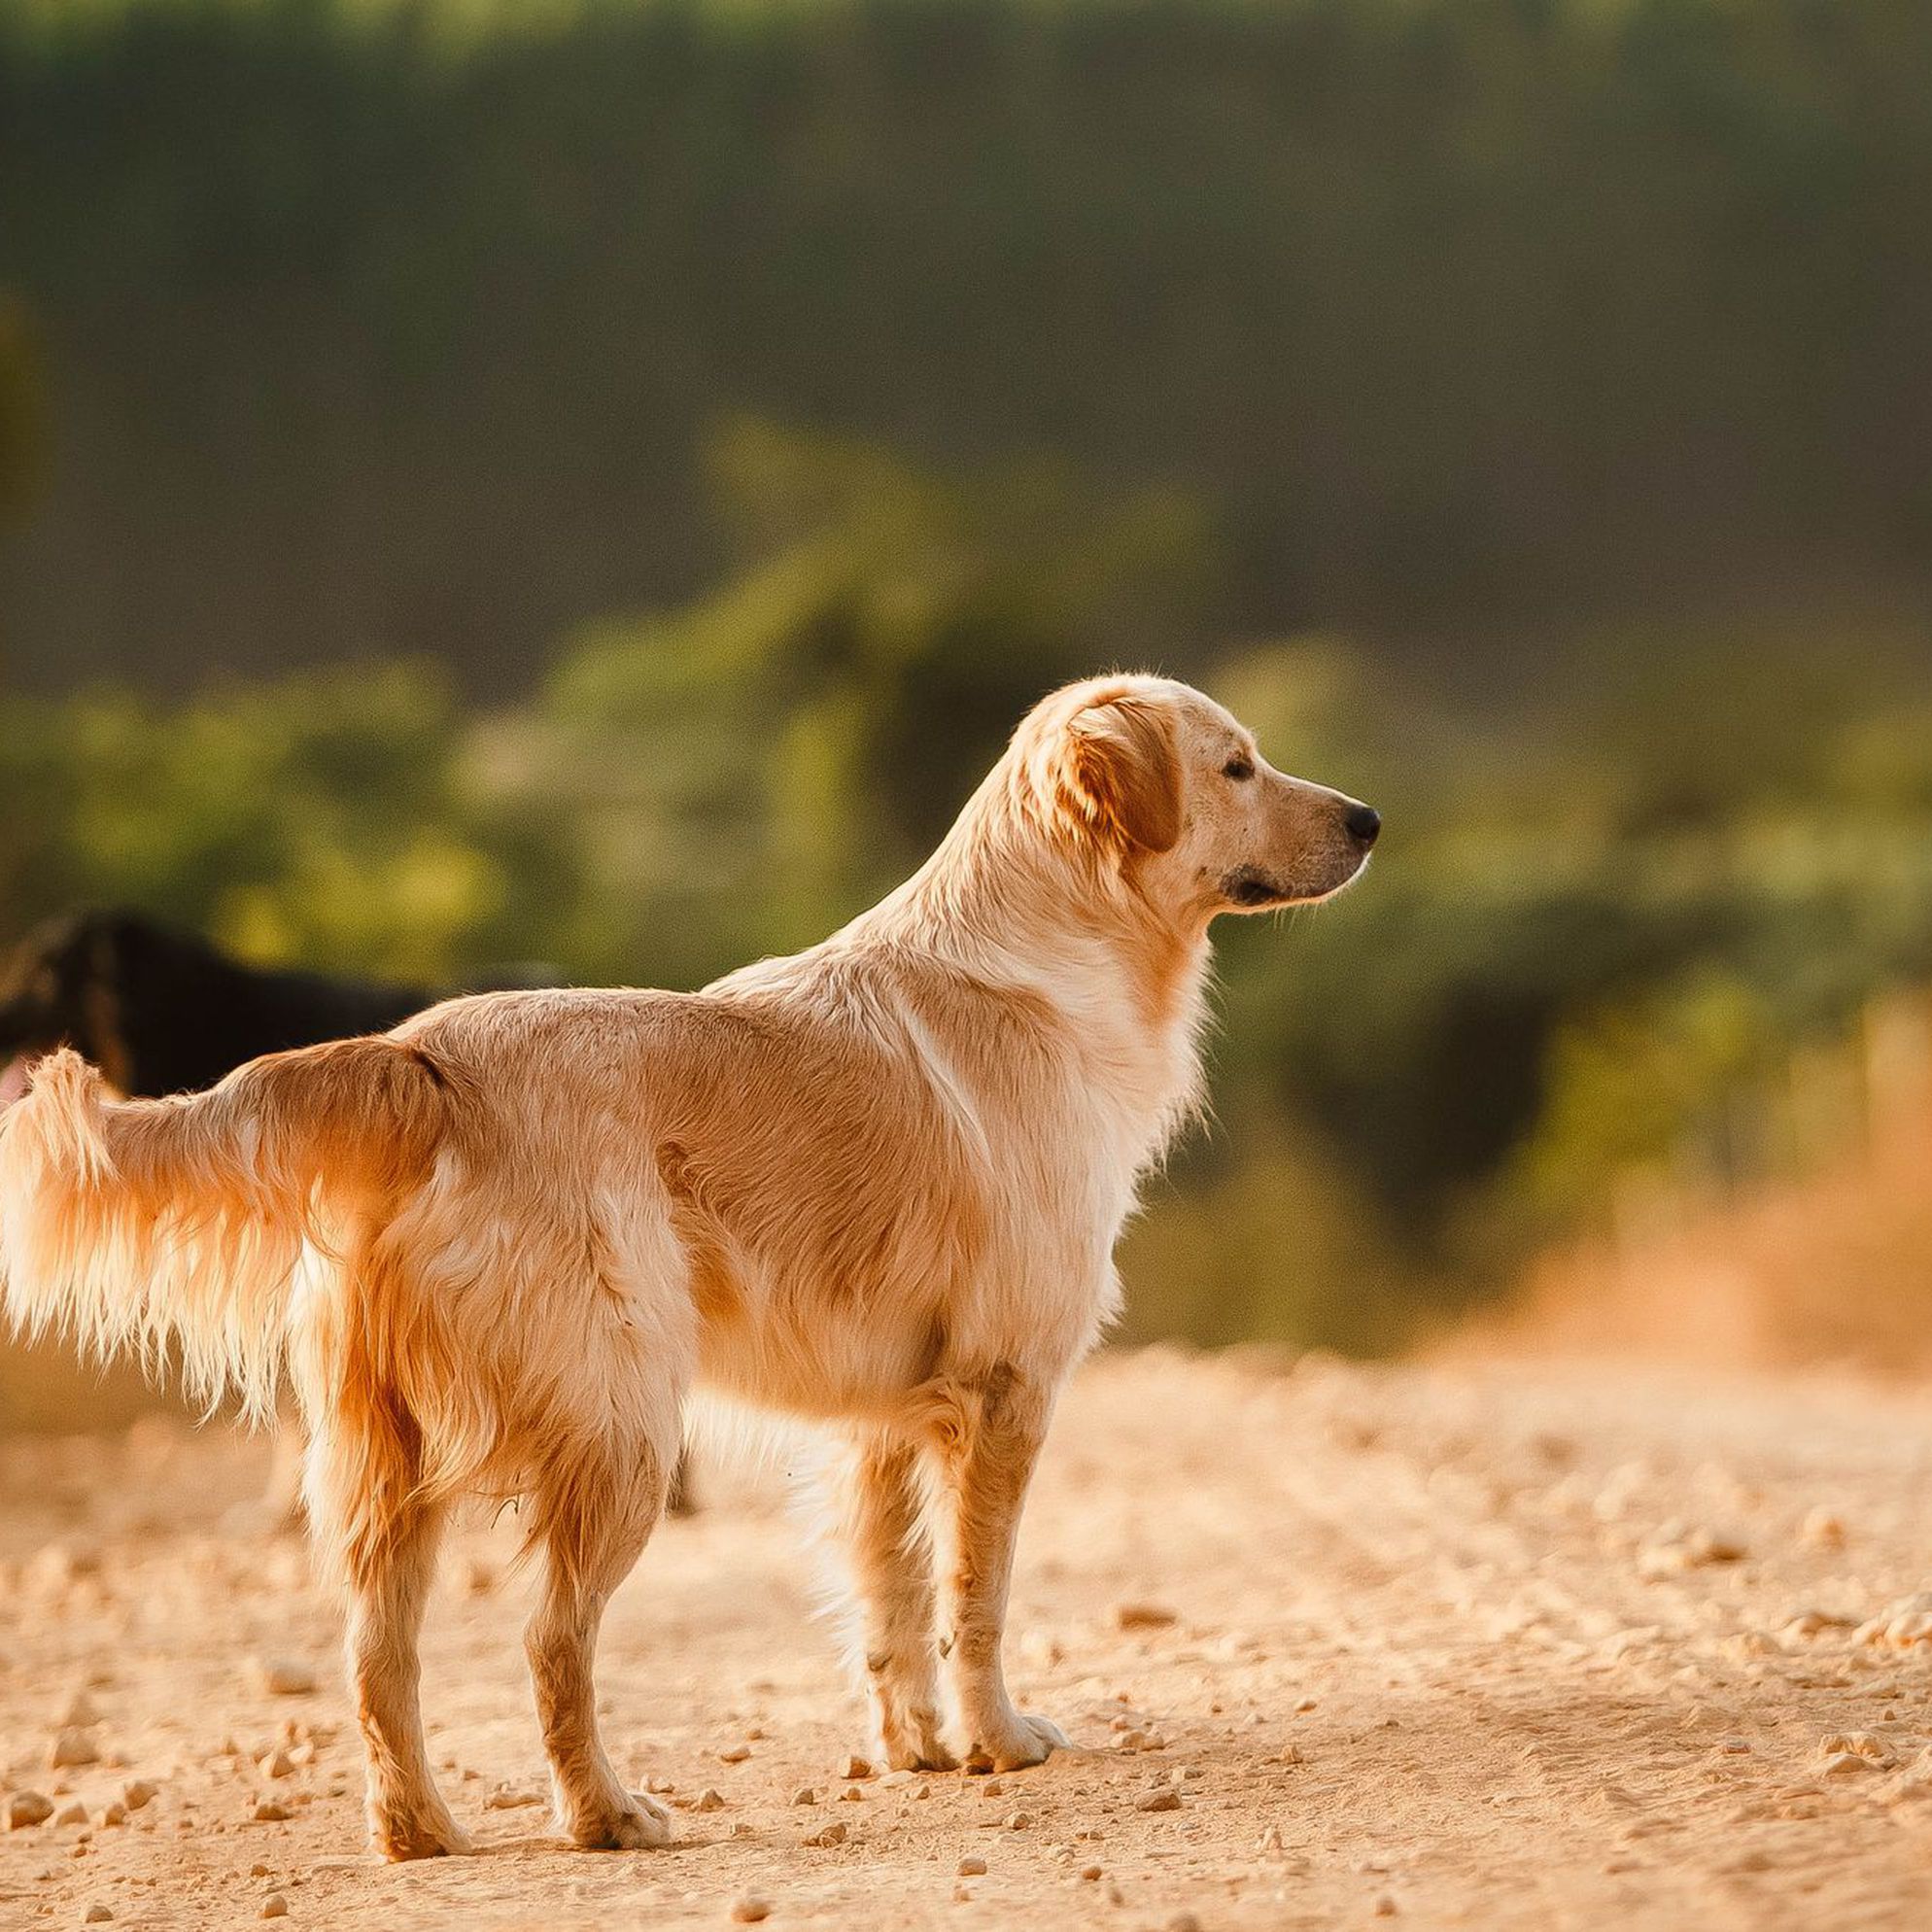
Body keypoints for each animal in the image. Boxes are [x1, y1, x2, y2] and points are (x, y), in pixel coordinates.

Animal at [0, 675, 1375, 1854]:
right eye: (1235, 765)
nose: (1367, 819)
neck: (1053, 947)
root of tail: (416, 1056)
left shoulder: (884, 1417)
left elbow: (889, 1600)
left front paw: (916, 1748)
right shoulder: (1004, 1388)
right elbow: (971, 1593)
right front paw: (996, 1739)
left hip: (382, 1459)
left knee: (376, 1655)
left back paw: (422, 1828)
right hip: (623, 1428)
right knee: (549, 1639)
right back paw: (606, 1812)